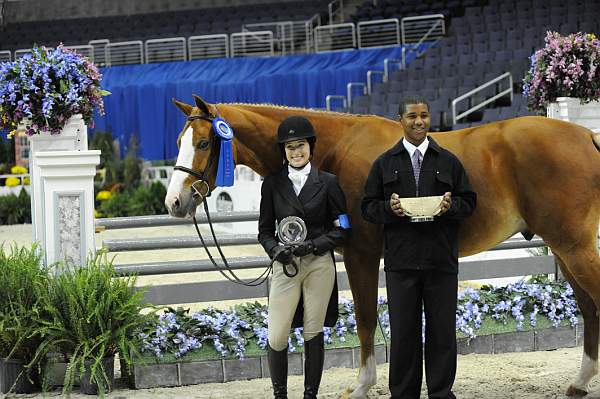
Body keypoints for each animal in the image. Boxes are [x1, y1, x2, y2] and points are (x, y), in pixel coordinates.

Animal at [165, 95, 600, 398]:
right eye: (180, 141)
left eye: (203, 143)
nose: (174, 202)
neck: (334, 149)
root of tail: (587, 136)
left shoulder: (362, 255)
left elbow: (365, 318)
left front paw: (361, 385)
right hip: (565, 249)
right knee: (588, 308)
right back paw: (579, 382)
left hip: (574, 247)